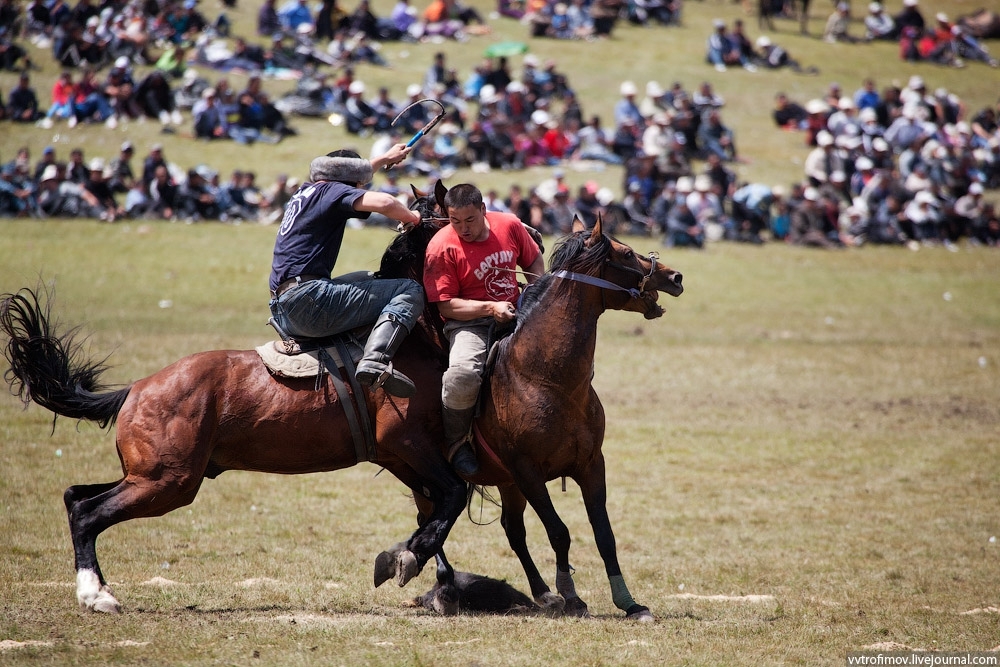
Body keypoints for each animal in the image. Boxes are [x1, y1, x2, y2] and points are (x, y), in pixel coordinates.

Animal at [0, 227, 468, 612]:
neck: (409, 340)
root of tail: (135, 390)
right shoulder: (406, 443)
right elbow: (453, 496)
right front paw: (413, 559)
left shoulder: (400, 457)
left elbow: (437, 505)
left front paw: (423, 566)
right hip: (167, 483)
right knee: (87, 513)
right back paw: (95, 595)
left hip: (150, 478)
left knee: (75, 496)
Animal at [376, 196, 688, 624]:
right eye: (625, 253)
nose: (675, 276)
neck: (549, 380)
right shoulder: (527, 471)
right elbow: (560, 532)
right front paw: (572, 595)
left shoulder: (591, 465)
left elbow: (604, 535)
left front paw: (629, 603)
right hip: (423, 471)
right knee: (434, 518)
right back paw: (440, 583)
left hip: (501, 483)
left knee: (511, 529)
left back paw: (540, 592)